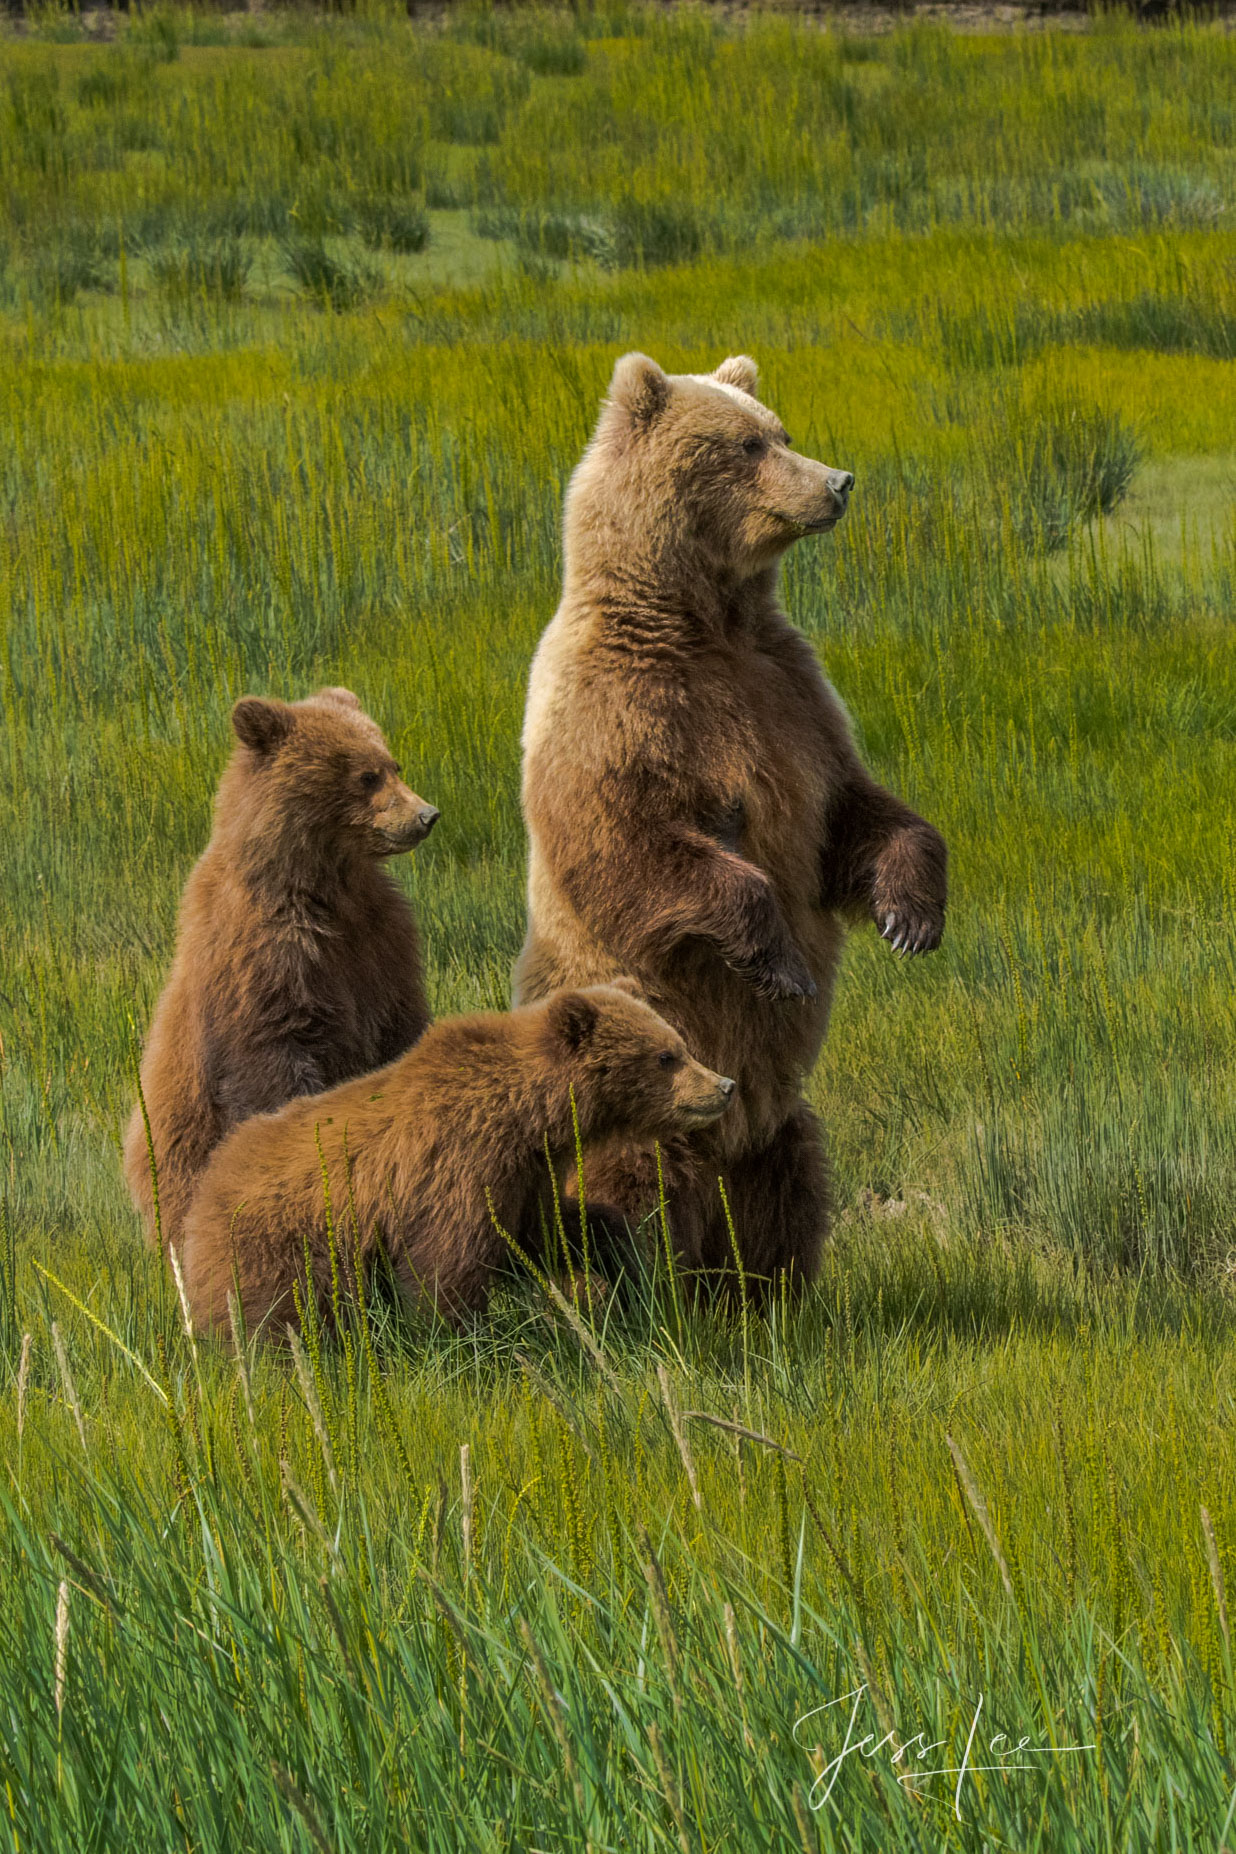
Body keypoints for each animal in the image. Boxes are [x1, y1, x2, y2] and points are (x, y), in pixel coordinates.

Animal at [127, 685, 437, 1245]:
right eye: (367, 776)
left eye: (393, 763)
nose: (426, 815)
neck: (322, 888)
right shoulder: (267, 961)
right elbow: (273, 1060)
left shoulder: (381, 943)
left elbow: (399, 1024)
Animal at [178, 986, 730, 1334]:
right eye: (667, 1056)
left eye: (680, 1045)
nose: (723, 1086)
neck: (524, 1114)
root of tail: (207, 1183)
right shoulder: (457, 1165)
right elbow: (447, 1268)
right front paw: (467, 1343)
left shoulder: (521, 1175)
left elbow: (547, 1232)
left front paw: (628, 1260)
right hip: (278, 1246)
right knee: (275, 1321)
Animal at [511, 357, 948, 1290]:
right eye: (747, 444)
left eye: (782, 430)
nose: (838, 480)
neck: (705, 620)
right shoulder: (616, 710)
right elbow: (629, 845)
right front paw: (779, 962)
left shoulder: (790, 694)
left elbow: (849, 813)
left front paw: (910, 916)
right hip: (648, 1088)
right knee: (631, 1188)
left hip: (777, 1126)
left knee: (788, 1186)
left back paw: (765, 1293)